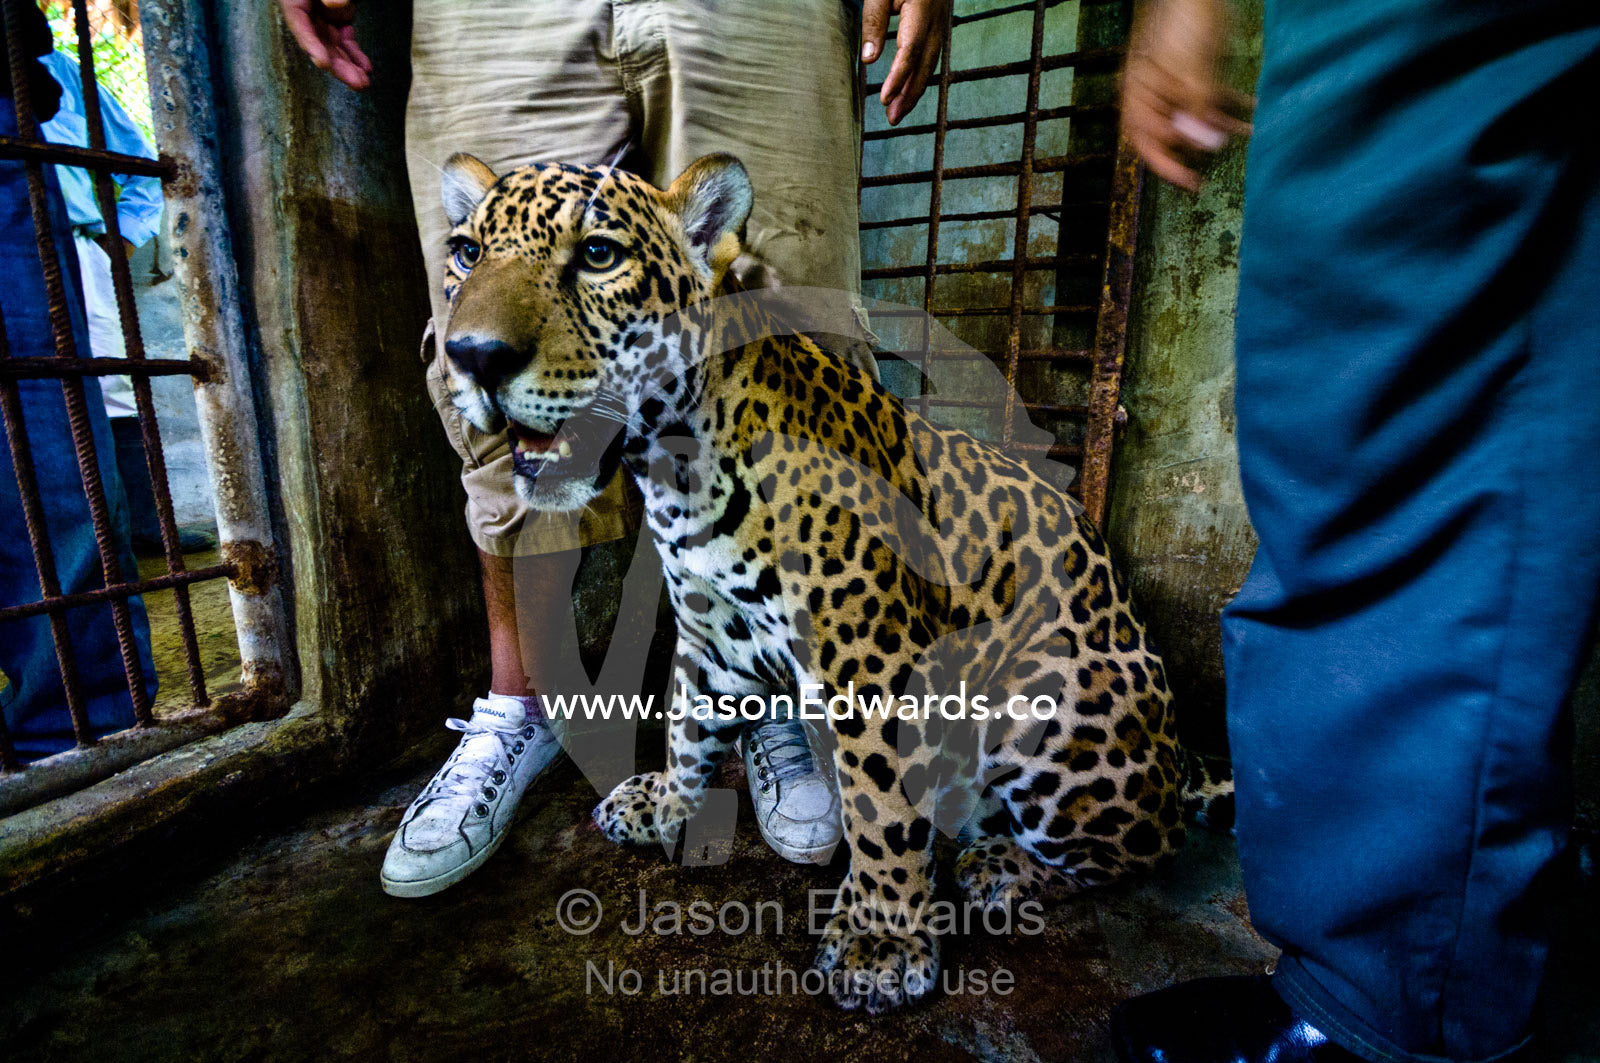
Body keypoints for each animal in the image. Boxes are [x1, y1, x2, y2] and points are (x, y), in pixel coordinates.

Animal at [433, 150, 1234, 1014]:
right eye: (466, 254)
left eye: (597, 255)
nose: (473, 354)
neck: (677, 468)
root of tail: (1178, 757)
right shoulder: (710, 638)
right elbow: (686, 728)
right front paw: (667, 804)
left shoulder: (873, 665)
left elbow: (880, 806)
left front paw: (883, 941)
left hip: (1044, 693)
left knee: (1140, 846)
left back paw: (998, 865)